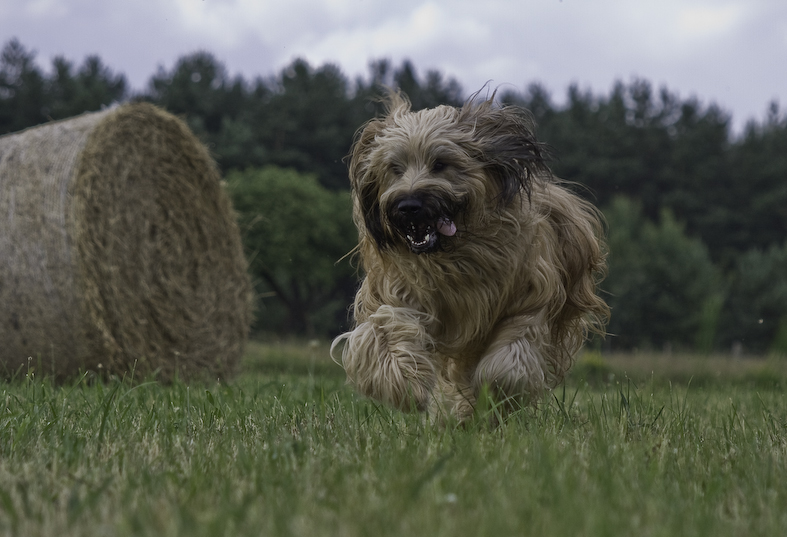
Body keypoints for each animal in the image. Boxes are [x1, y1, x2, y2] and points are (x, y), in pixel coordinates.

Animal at [332, 93, 608, 422]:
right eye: (395, 168)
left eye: (441, 164)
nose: (408, 206)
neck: (454, 255)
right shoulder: (399, 291)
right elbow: (383, 331)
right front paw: (405, 383)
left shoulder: (528, 300)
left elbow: (509, 360)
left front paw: (492, 397)